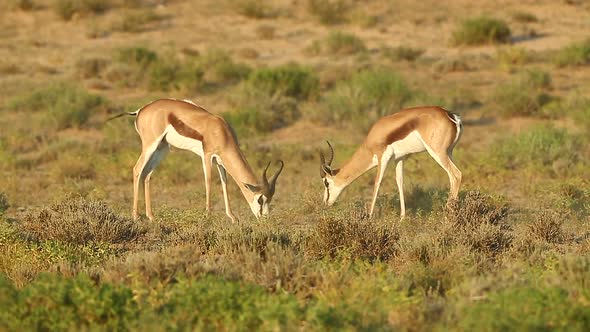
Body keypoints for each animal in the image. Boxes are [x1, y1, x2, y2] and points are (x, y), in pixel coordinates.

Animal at [114, 98, 286, 223]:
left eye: (271, 199)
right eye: (260, 199)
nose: (265, 219)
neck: (221, 131)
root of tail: (141, 110)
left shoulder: (220, 161)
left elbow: (224, 183)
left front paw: (232, 217)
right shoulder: (207, 156)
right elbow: (208, 182)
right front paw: (207, 216)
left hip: (162, 149)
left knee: (147, 174)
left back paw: (151, 216)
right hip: (150, 145)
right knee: (137, 169)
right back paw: (136, 217)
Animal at [322, 106, 464, 219]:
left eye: (326, 183)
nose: (325, 203)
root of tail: (450, 116)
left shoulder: (382, 157)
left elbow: (377, 183)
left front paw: (369, 216)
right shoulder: (399, 158)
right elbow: (399, 182)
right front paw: (402, 218)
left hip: (438, 153)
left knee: (456, 175)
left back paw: (448, 215)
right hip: (449, 152)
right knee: (454, 176)